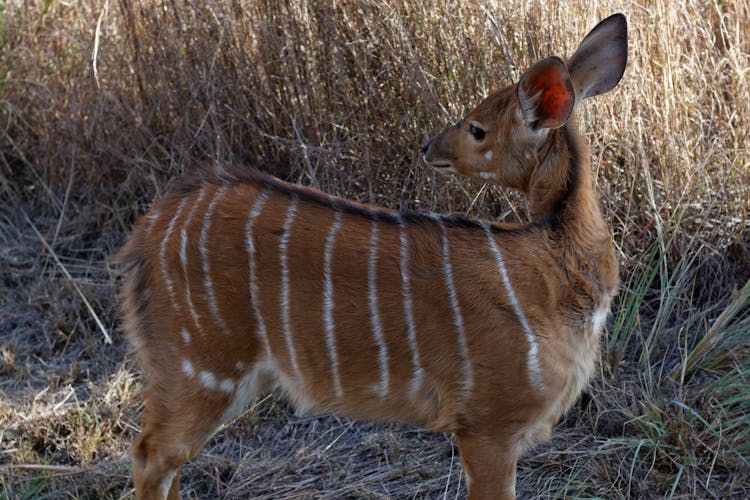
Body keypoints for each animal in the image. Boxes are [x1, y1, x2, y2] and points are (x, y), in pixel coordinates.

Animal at [119, 13, 628, 500]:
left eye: (477, 128)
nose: (428, 147)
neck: (556, 273)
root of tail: (148, 232)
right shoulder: (487, 425)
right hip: (202, 366)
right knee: (149, 454)